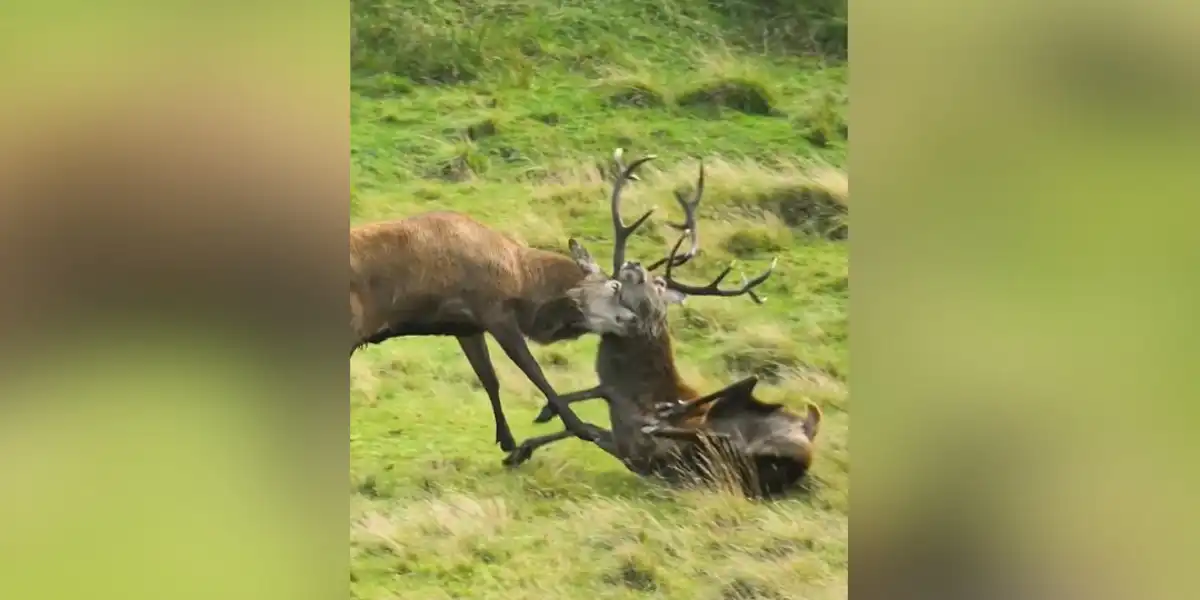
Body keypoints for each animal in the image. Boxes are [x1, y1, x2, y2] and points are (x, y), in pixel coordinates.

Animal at [348, 150, 657, 451]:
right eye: (615, 288)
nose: (634, 320)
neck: (521, 281)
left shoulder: (466, 326)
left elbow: (489, 378)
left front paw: (507, 440)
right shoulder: (496, 312)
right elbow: (534, 371)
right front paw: (582, 428)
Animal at [506, 158, 825, 496]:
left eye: (658, 284)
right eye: (615, 281)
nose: (633, 264)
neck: (633, 393)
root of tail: (807, 437)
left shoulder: (631, 442)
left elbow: (586, 422)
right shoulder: (624, 443)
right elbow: (585, 422)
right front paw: (523, 445)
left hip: (760, 433)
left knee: (737, 397)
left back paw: (666, 415)